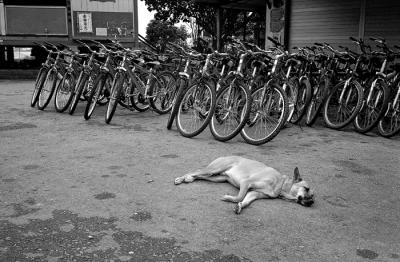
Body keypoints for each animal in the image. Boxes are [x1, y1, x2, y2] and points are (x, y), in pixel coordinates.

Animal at [175, 156, 316, 213]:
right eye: (306, 188)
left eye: (313, 196)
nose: (312, 202)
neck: (280, 184)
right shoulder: (246, 183)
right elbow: (240, 196)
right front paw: (229, 198)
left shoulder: (254, 193)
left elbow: (246, 201)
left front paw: (240, 206)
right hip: (214, 169)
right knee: (196, 171)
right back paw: (181, 178)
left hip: (218, 178)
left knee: (200, 176)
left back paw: (188, 178)